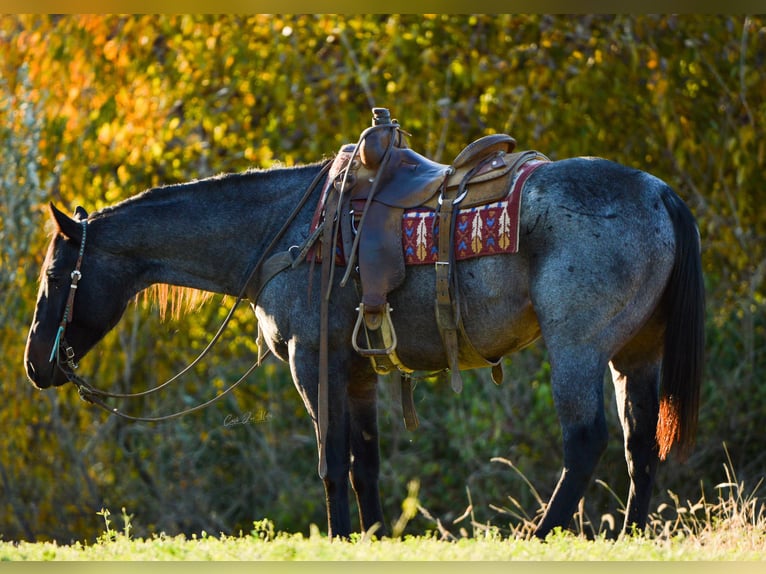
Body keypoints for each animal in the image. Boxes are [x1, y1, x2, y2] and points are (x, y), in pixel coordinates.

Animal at [24, 140, 708, 540]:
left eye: (57, 275)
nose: (35, 364)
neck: (286, 233)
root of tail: (659, 193)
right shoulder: (356, 373)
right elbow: (365, 466)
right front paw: (371, 538)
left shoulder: (312, 363)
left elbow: (331, 464)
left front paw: (337, 537)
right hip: (635, 355)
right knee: (641, 445)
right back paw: (631, 536)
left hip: (577, 347)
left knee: (586, 440)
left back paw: (541, 536)